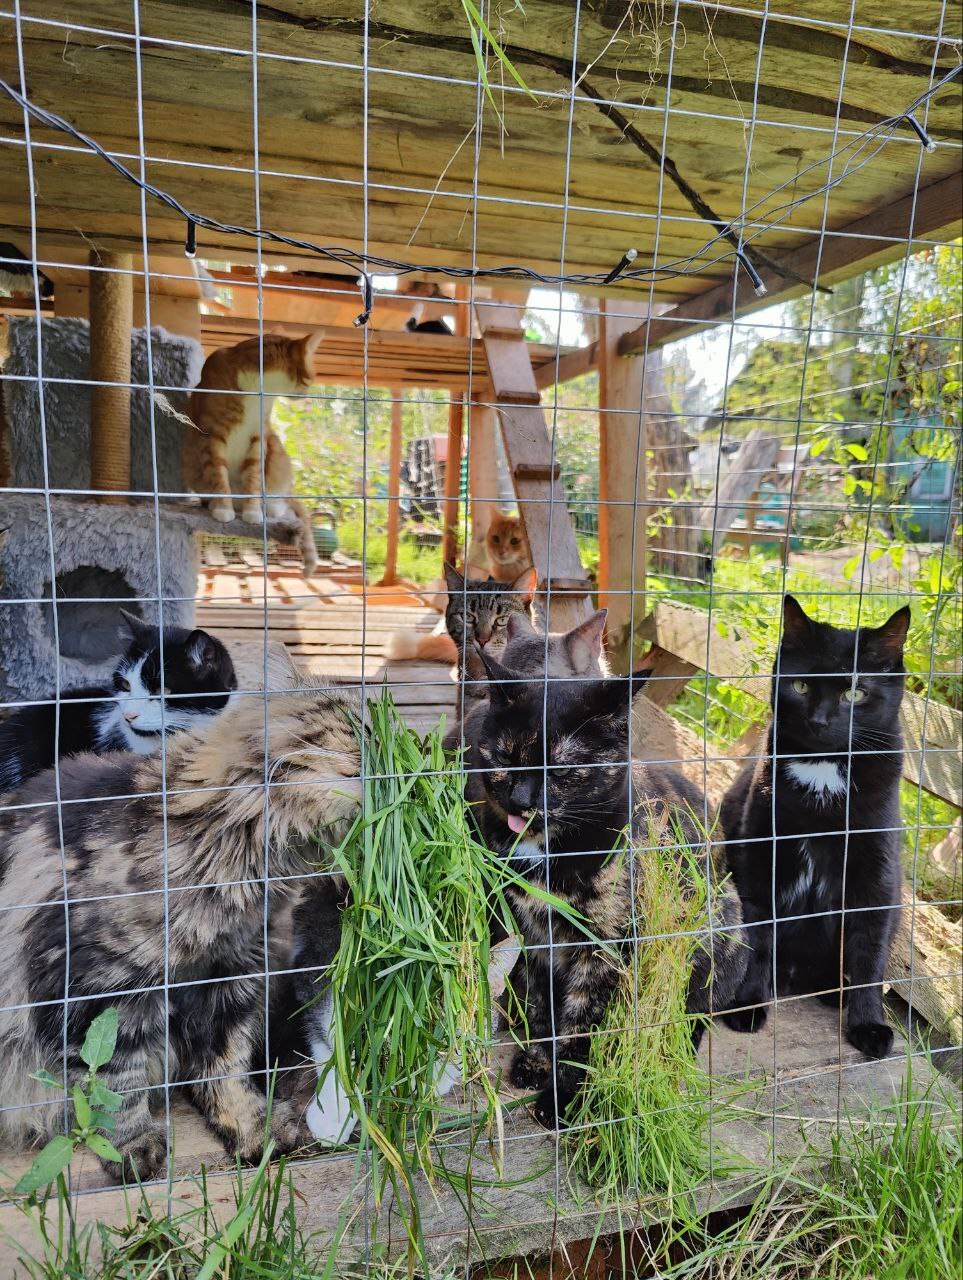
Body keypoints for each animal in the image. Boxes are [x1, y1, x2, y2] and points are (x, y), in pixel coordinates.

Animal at [0, 680, 363, 1177]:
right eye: (362, 726)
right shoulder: (99, 991)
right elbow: (114, 1082)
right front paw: (133, 1148)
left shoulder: (235, 975)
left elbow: (226, 1067)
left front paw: (253, 1130)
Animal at [184, 332, 323, 573]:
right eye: (310, 377)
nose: (308, 394)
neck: (257, 395)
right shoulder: (211, 437)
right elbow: (218, 475)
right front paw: (223, 508)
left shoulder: (258, 439)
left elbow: (253, 478)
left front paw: (253, 512)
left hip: (277, 453)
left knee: (281, 497)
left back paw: (272, 508)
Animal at [463, 650, 742, 1131]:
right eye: (503, 757)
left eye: (558, 769)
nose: (521, 802)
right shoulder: (530, 937)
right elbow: (541, 1008)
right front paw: (537, 1062)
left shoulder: (607, 947)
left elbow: (581, 1027)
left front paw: (562, 1099)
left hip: (717, 928)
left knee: (693, 1012)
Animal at [722, 593, 911, 1054]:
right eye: (802, 686)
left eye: (855, 692)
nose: (820, 721)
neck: (823, 771)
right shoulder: (759, 856)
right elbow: (758, 937)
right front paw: (747, 1004)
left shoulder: (875, 876)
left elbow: (869, 953)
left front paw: (868, 1025)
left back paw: (833, 991)